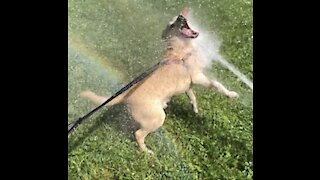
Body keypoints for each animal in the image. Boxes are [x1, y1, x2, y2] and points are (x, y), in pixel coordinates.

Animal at [79, 7, 238, 153]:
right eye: (172, 25)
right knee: (138, 134)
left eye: (176, 19)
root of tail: (124, 96)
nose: (181, 16)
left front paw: (195, 108)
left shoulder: (187, 85)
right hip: (157, 118)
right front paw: (231, 94)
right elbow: (217, 84)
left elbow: (191, 95)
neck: (180, 51)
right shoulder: (198, 77)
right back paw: (146, 151)